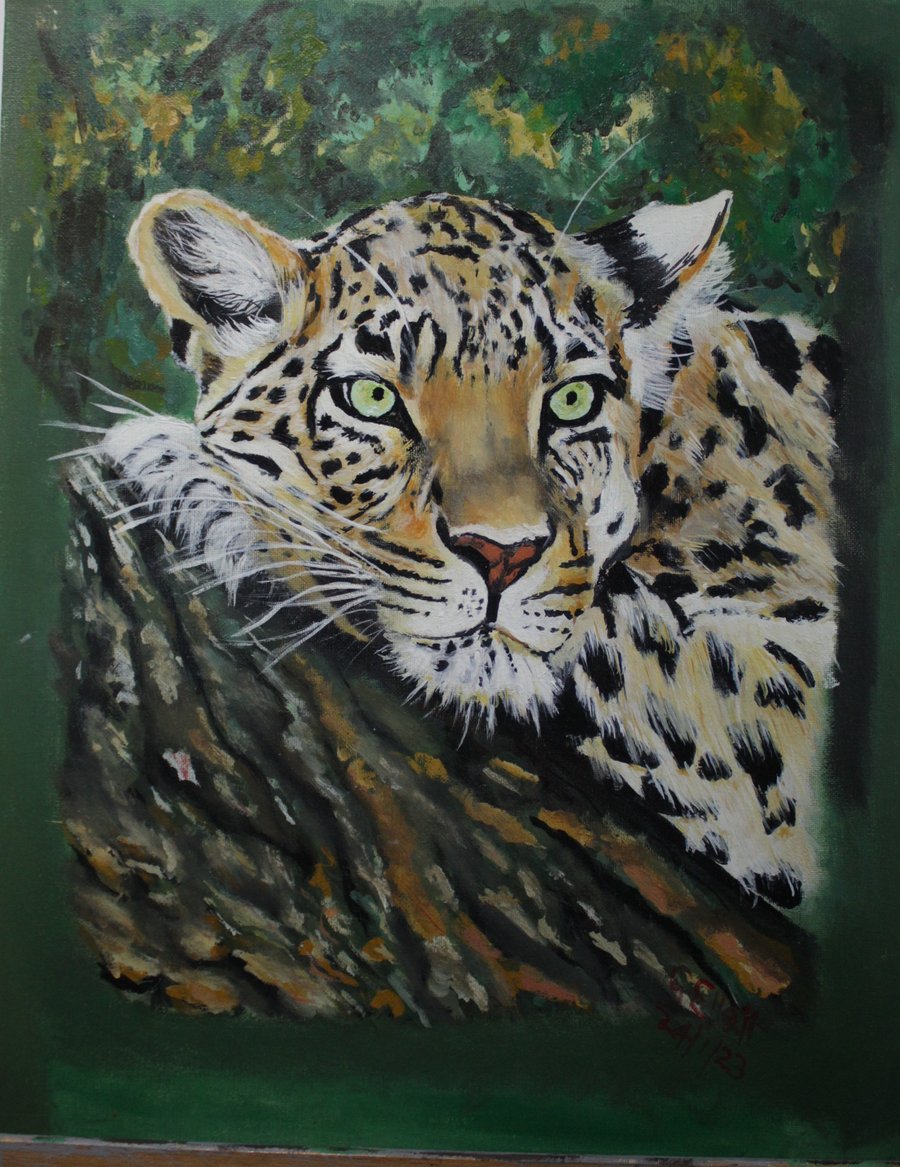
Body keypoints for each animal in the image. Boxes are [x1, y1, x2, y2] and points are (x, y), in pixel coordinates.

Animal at [99, 185, 840, 910]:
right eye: (370, 398)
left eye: (572, 400)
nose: (501, 555)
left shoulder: (782, 674)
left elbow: (611, 632)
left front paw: (193, 471)